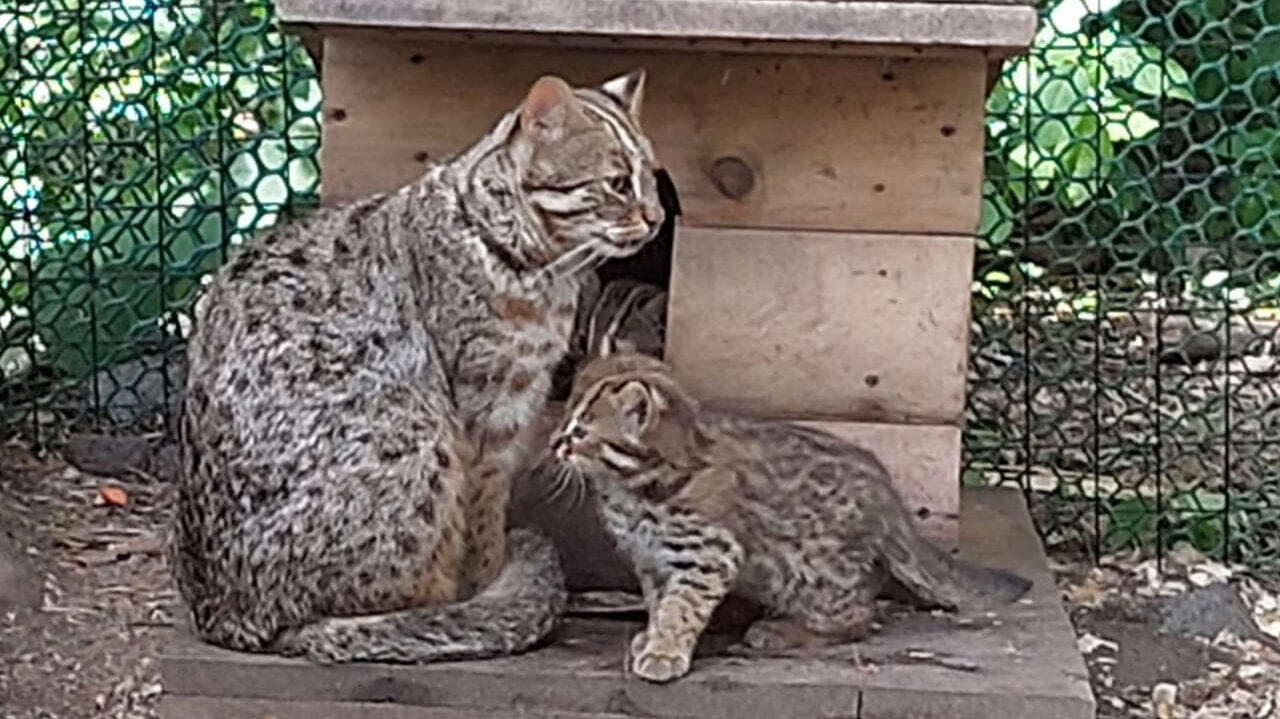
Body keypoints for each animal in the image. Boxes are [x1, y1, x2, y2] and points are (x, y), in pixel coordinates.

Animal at [168, 68, 665, 660]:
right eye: (617, 184)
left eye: (653, 179)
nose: (658, 218)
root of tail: (225, 614)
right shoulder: (487, 412)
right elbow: (482, 518)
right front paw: (487, 585)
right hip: (417, 438)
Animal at [550, 350, 1029, 680]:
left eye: (579, 431)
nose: (555, 442)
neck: (633, 488)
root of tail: (885, 491)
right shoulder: (651, 558)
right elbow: (659, 601)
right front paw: (653, 636)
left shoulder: (709, 552)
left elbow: (682, 606)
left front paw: (665, 651)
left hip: (809, 570)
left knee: (862, 615)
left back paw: (786, 631)